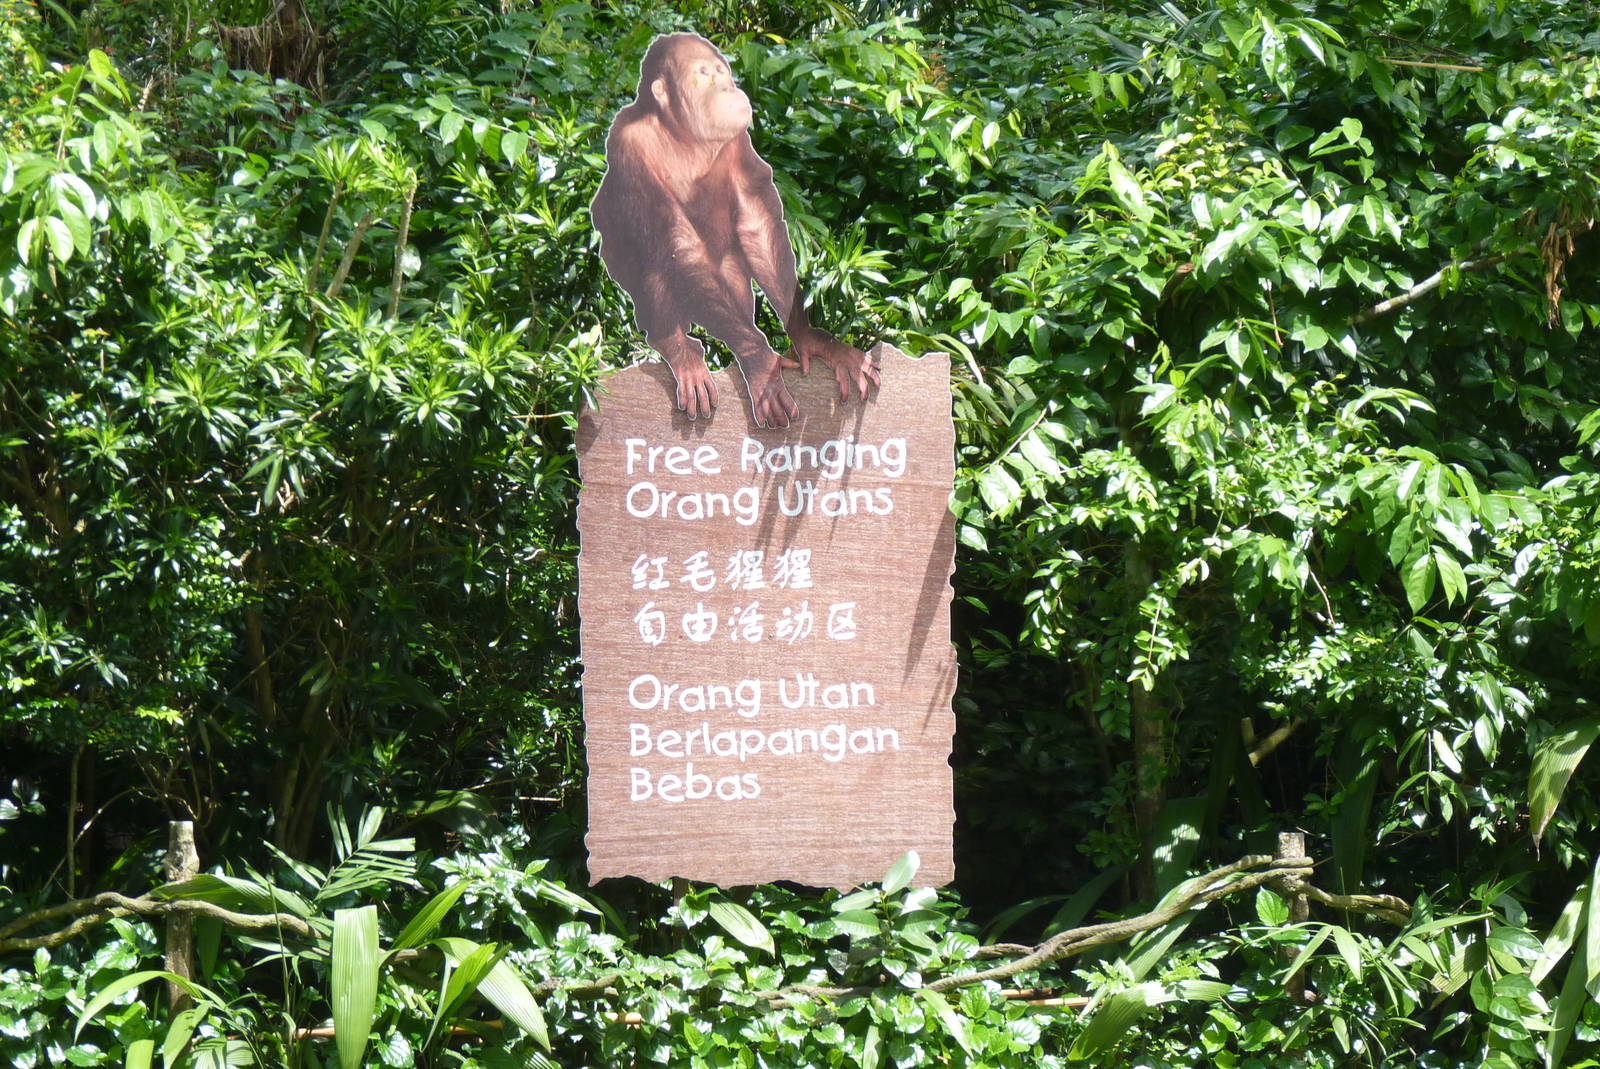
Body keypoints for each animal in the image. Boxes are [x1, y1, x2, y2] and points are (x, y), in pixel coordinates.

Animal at [590, 33, 880, 428]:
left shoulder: (738, 139)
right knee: (656, 256)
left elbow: (755, 223)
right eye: (703, 73)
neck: (681, 133)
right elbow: (676, 242)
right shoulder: (627, 143)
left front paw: (810, 338)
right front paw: (762, 364)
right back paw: (677, 349)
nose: (725, 85)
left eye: (719, 70)